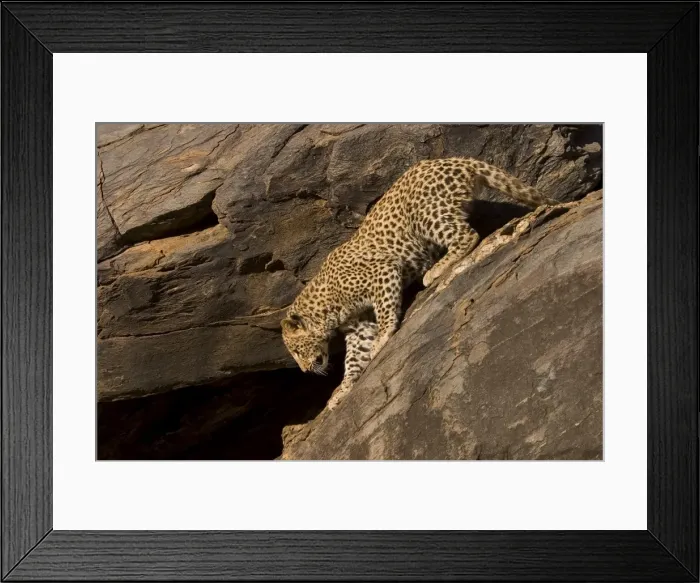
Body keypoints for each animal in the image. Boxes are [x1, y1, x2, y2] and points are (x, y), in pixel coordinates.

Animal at [281, 157, 558, 410]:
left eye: (297, 350)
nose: (305, 370)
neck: (326, 309)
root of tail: (454, 159)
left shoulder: (382, 272)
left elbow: (385, 312)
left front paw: (383, 338)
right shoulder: (359, 324)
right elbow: (354, 357)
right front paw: (343, 388)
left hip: (425, 215)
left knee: (468, 235)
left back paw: (436, 270)